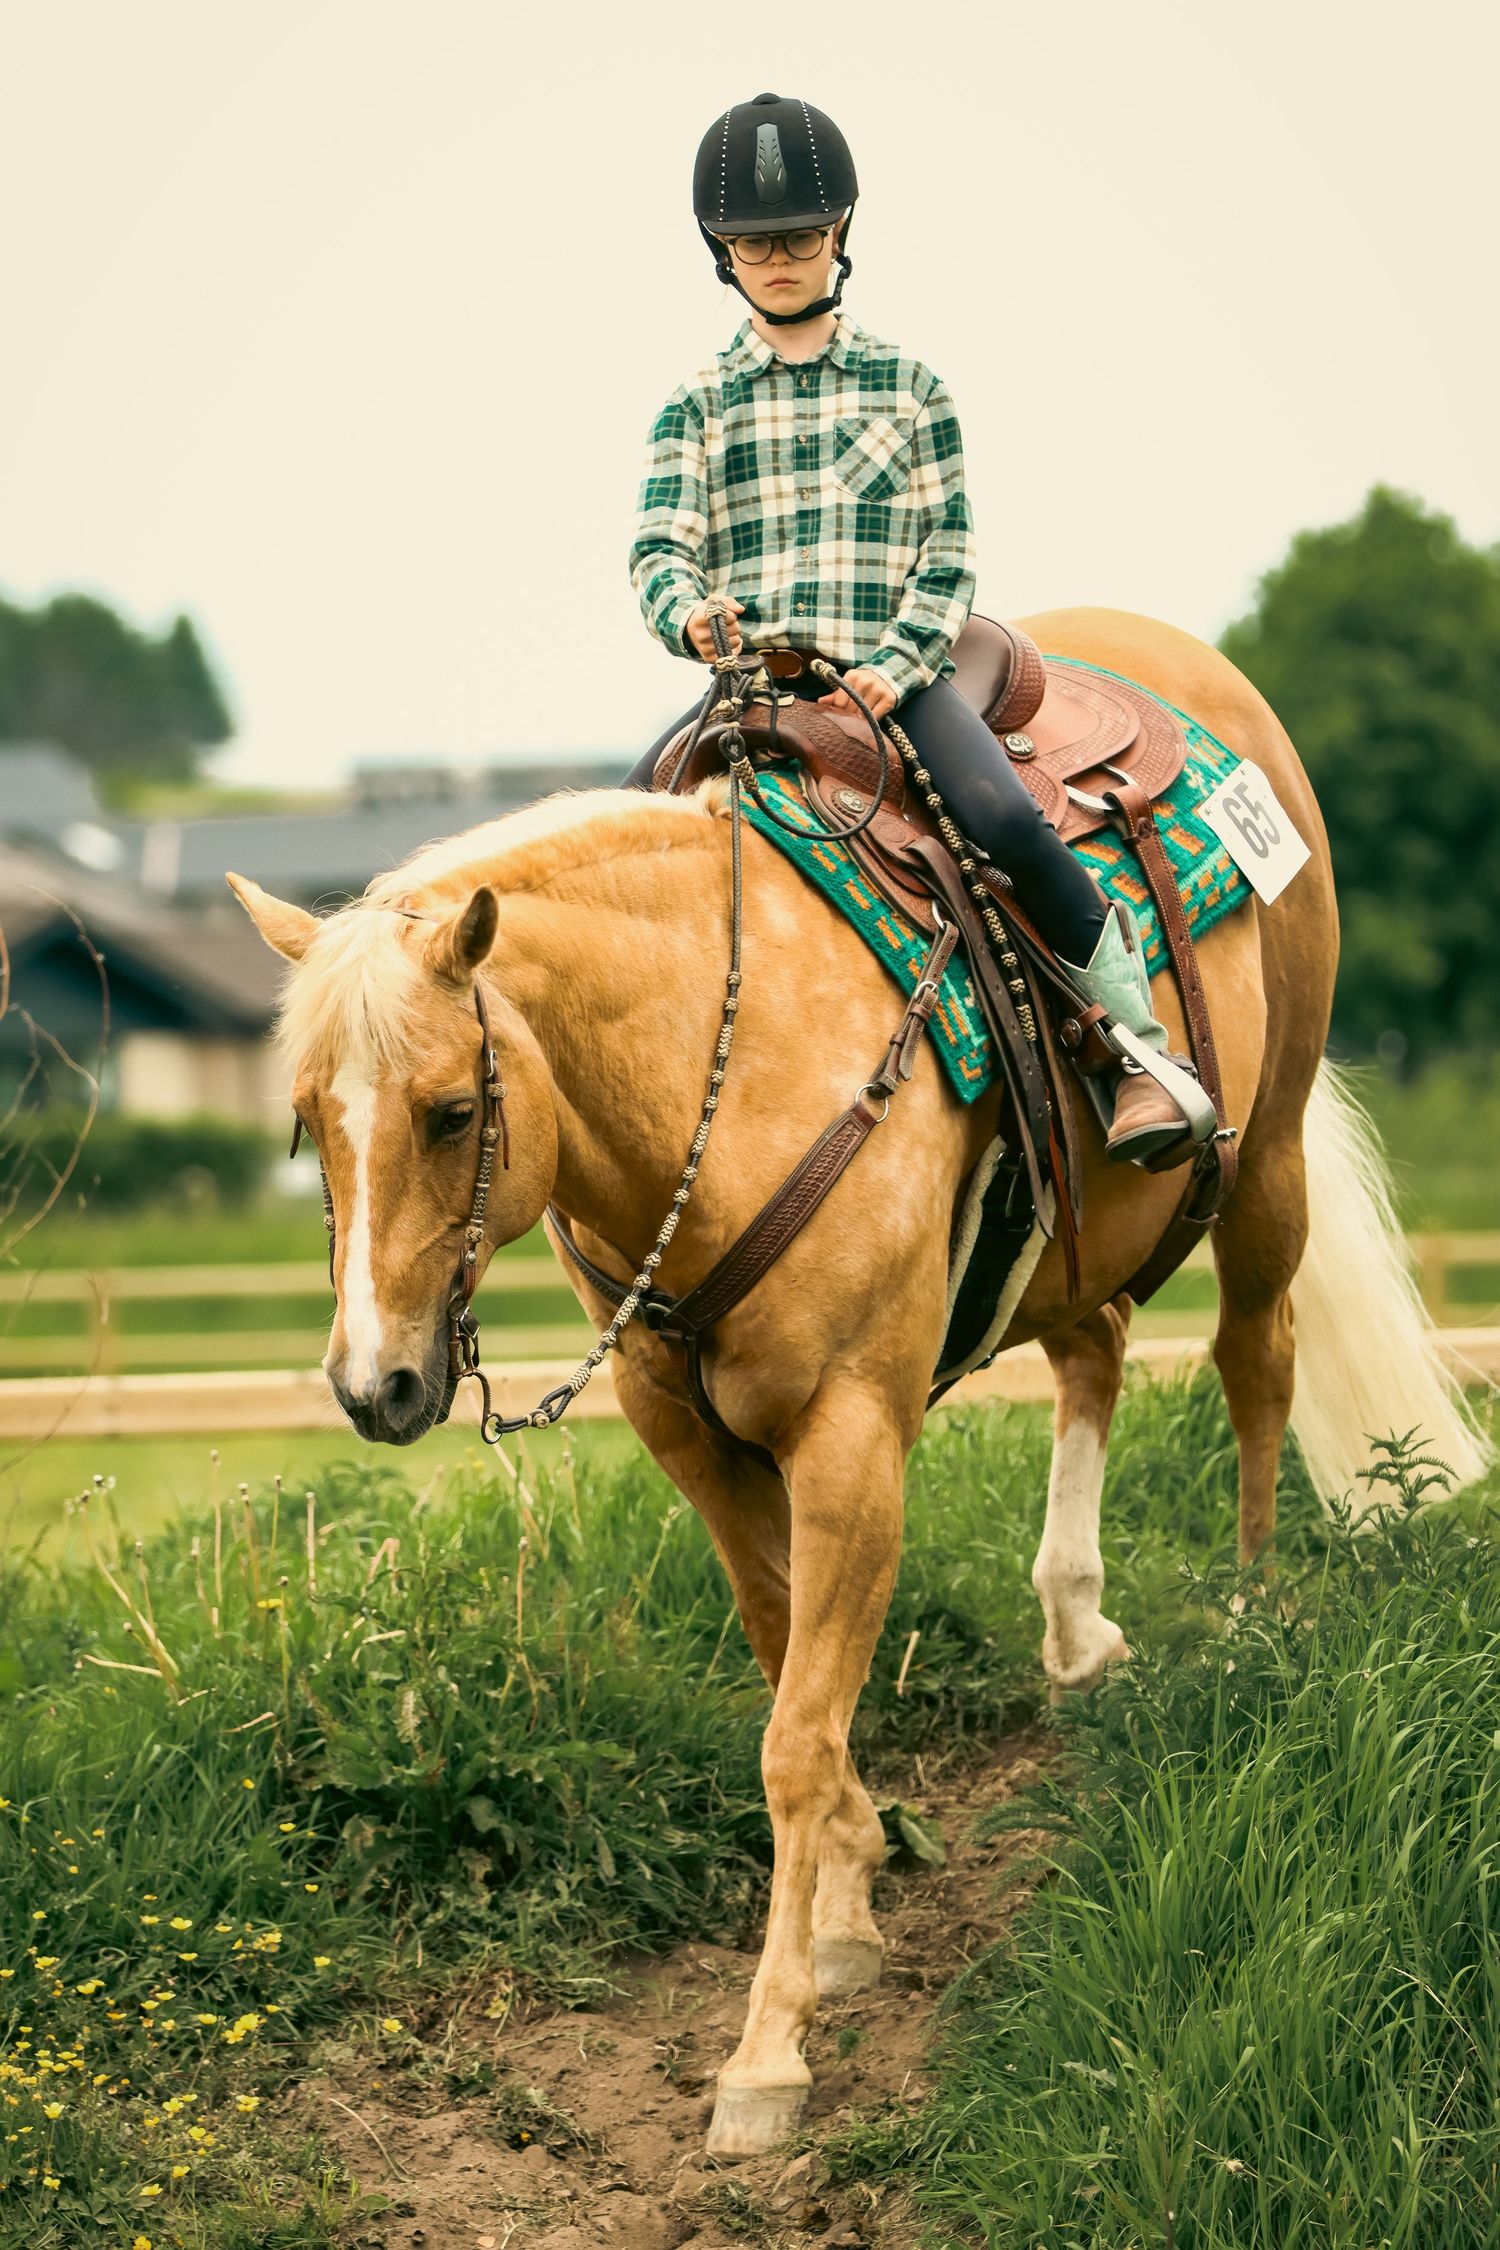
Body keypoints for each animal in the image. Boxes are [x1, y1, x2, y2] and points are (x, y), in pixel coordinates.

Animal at [229, 607, 1487, 2158]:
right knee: (1094, 1353)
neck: (721, 1074)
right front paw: (851, 1898)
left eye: (453, 1110)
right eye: (306, 1119)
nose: (376, 1385)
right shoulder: (695, 1444)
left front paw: (768, 2052)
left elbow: (794, 1735)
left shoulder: (851, 1443)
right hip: (1069, 1234)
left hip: (1267, 1160)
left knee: (1256, 1363)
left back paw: (1251, 1621)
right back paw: (1075, 1623)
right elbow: (796, 1688)